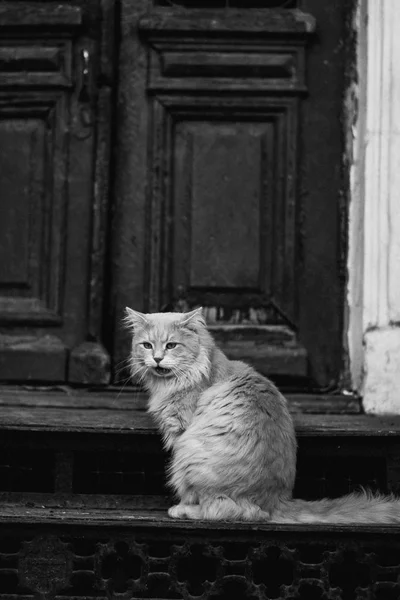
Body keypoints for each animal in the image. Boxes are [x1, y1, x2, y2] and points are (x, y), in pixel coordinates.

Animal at [125, 308, 400, 524]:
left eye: (171, 345)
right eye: (147, 345)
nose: (157, 358)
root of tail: (275, 501)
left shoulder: (181, 433)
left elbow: (190, 495)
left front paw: (182, 504)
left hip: (189, 455)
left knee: (220, 509)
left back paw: (183, 510)